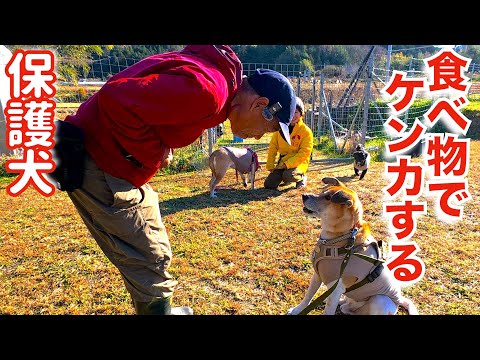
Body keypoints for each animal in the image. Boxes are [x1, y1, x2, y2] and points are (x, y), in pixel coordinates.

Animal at [286, 177, 418, 316]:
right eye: (322, 191)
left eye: (328, 197)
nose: (304, 195)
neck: (339, 239)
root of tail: (399, 300)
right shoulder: (317, 275)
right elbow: (308, 296)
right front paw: (297, 310)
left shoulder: (336, 288)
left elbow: (328, 310)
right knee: (347, 303)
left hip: (380, 300)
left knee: (356, 309)